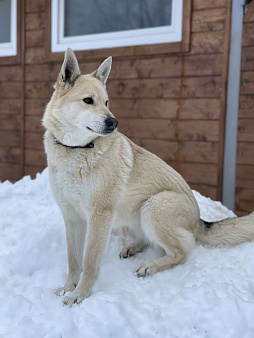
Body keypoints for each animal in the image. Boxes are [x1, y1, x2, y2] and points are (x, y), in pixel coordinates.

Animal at [42, 48, 254, 304]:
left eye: (106, 102)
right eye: (88, 100)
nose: (114, 122)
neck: (77, 150)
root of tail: (198, 221)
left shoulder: (100, 216)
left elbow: (90, 262)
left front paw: (80, 295)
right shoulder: (71, 216)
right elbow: (73, 260)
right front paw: (68, 288)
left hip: (153, 207)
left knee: (182, 251)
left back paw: (150, 265)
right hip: (132, 214)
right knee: (149, 240)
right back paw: (133, 248)